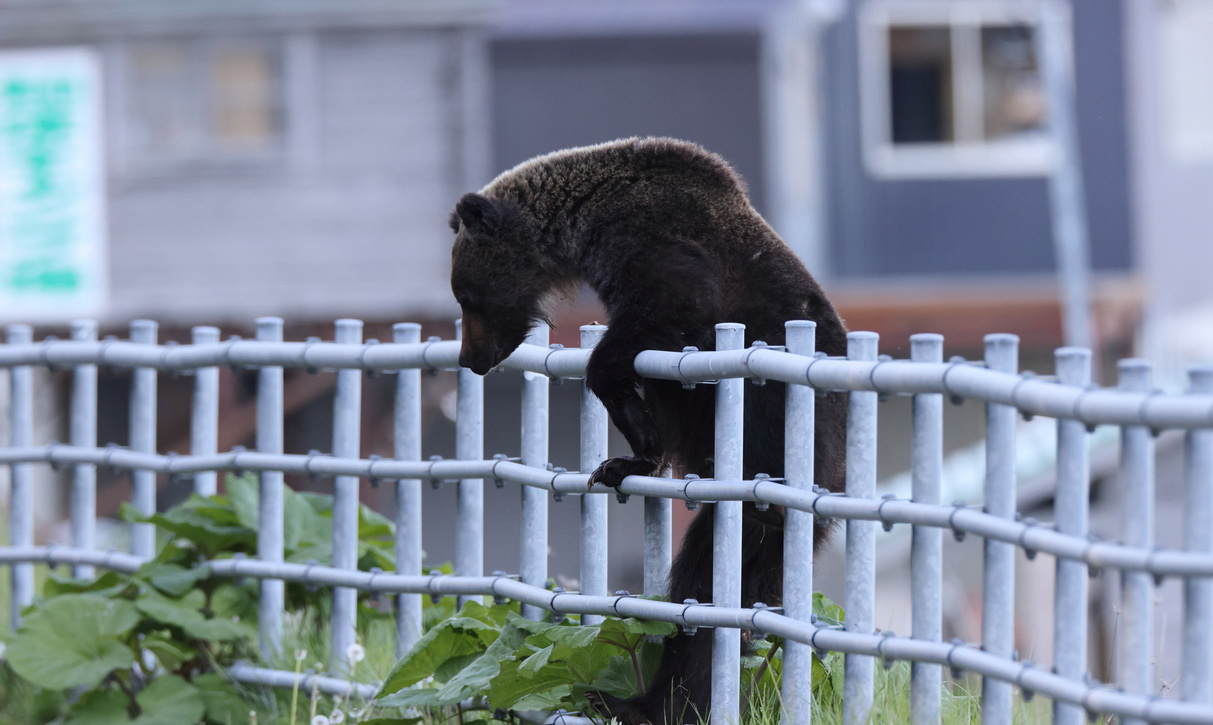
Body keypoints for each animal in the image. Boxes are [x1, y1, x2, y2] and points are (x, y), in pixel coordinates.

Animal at [446, 137, 844, 725]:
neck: (586, 223)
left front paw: (628, 417)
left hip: (782, 424)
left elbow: (650, 325)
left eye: (467, 296)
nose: (470, 358)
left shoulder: (664, 251)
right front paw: (623, 460)